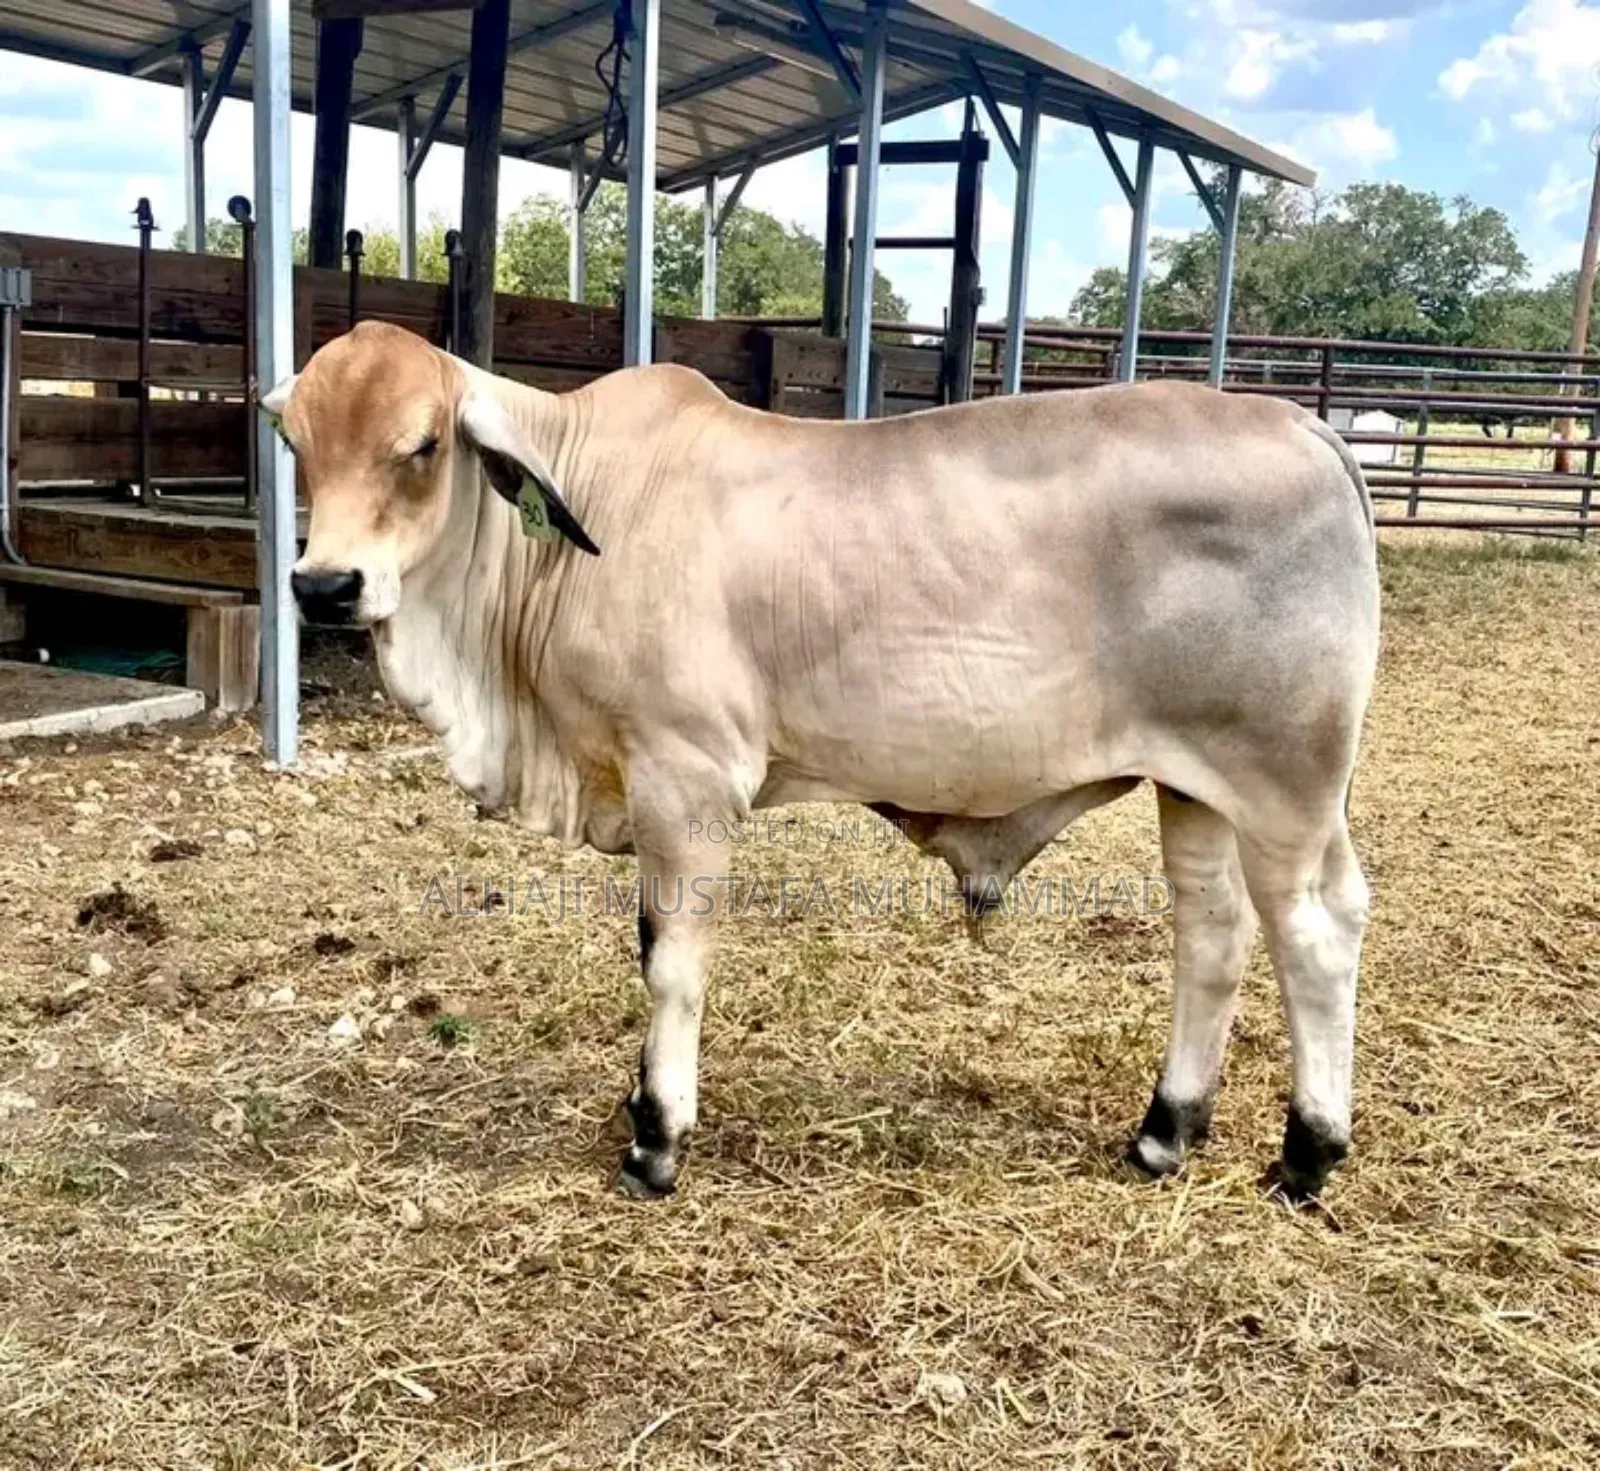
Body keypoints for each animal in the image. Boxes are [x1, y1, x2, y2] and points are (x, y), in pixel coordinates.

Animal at [267, 320, 1378, 1202]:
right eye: (296, 442)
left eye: (422, 443)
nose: (324, 585)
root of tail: (1305, 427)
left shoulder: (687, 778)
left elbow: (671, 962)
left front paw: (656, 1136)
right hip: (1194, 784)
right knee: (1214, 936)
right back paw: (1162, 1131)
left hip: (1286, 786)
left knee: (1317, 933)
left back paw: (1307, 1152)